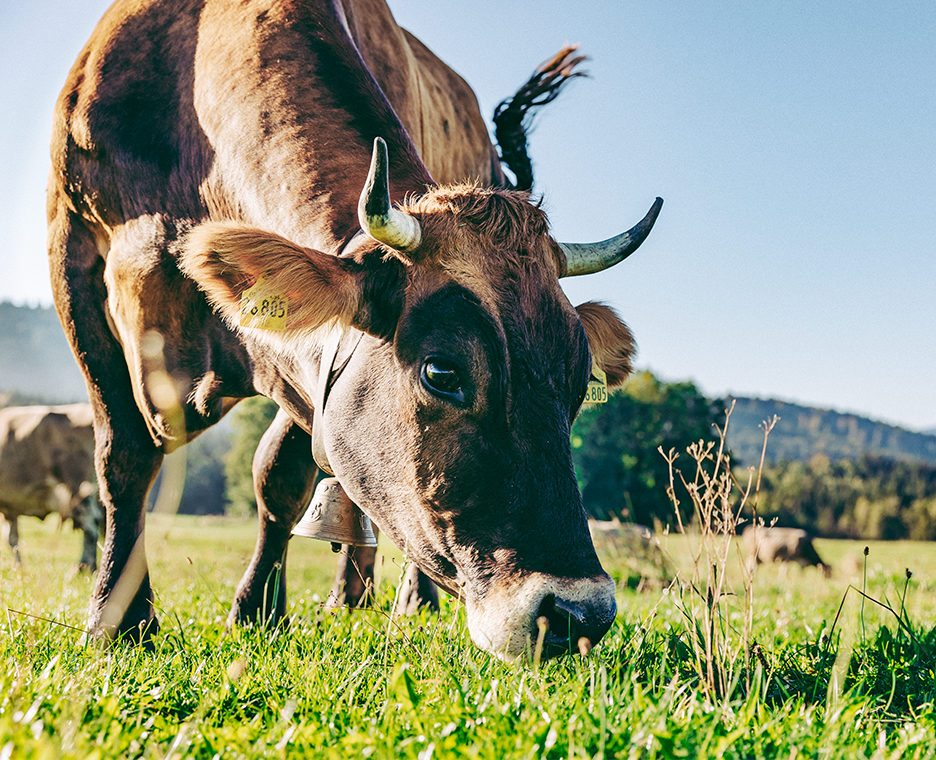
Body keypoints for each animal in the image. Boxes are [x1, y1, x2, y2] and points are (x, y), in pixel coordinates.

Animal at [0, 404, 100, 568]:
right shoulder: (10, 508)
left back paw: (84, 566)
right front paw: (19, 567)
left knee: (90, 524)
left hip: (77, 488)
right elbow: (11, 538)